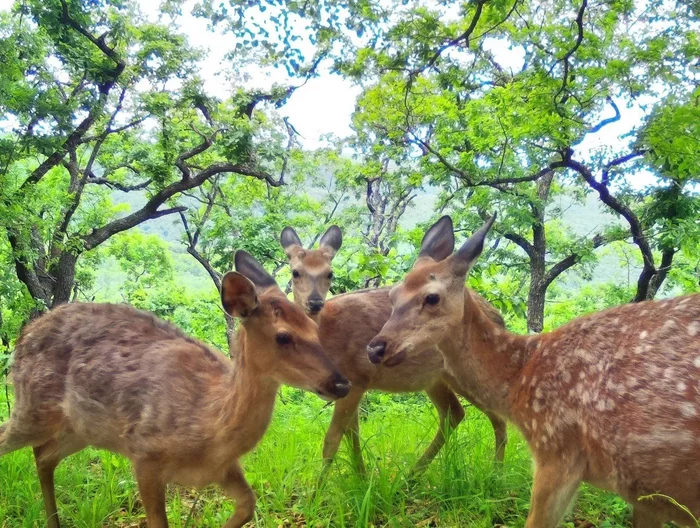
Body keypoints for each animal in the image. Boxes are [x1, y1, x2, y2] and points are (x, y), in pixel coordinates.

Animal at [0, 252, 350, 528]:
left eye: (314, 328)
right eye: (283, 337)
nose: (341, 383)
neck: (209, 424)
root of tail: (23, 337)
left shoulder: (222, 469)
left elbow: (248, 506)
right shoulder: (145, 453)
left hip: (79, 429)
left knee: (43, 456)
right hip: (31, 406)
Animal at [278, 225, 508, 476]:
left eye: (330, 273)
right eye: (295, 272)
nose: (314, 302)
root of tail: (499, 317)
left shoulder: (356, 377)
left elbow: (333, 439)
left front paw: (320, 487)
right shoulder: (352, 386)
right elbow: (352, 434)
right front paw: (361, 477)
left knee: (495, 416)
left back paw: (496, 473)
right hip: (436, 379)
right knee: (454, 413)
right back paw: (413, 476)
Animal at [366, 212, 700, 524]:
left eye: (432, 297)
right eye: (393, 295)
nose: (375, 347)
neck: (521, 375)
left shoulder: (555, 448)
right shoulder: (646, 496)